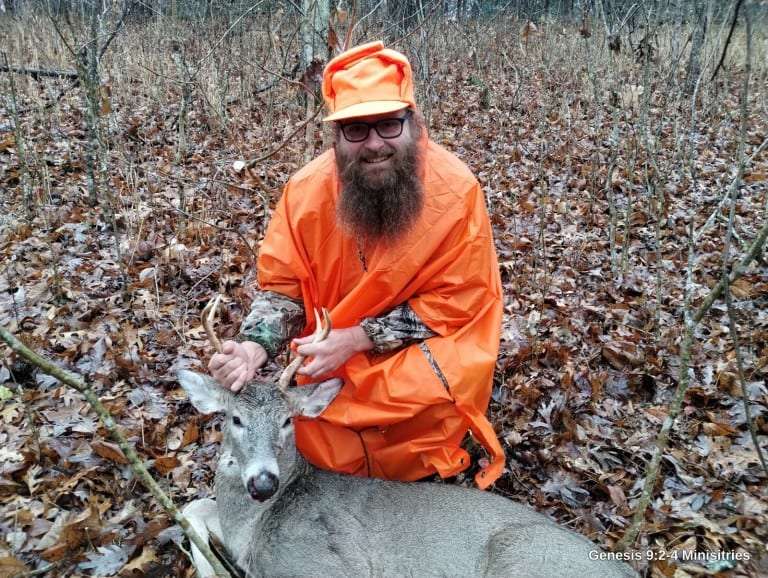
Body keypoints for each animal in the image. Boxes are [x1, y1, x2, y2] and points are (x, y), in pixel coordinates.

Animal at [177, 300, 638, 578]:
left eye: (289, 421)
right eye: (235, 419)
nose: (263, 482)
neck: (252, 531)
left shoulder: (326, 564)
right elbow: (191, 506)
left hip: (520, 556)